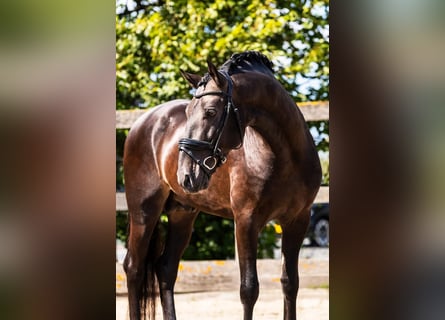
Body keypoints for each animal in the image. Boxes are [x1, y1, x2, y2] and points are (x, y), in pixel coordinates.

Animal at [123, 51, 320, 318]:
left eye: (210, 111)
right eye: (188, 112)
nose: (186, 175)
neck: (283, 156)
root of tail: (142, 121)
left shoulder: (298, 220)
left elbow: (290, 283)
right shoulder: (246, 221)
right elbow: (249, 289)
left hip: (182, 213)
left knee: (165, 269)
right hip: (143, 210)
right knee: (134, 268)